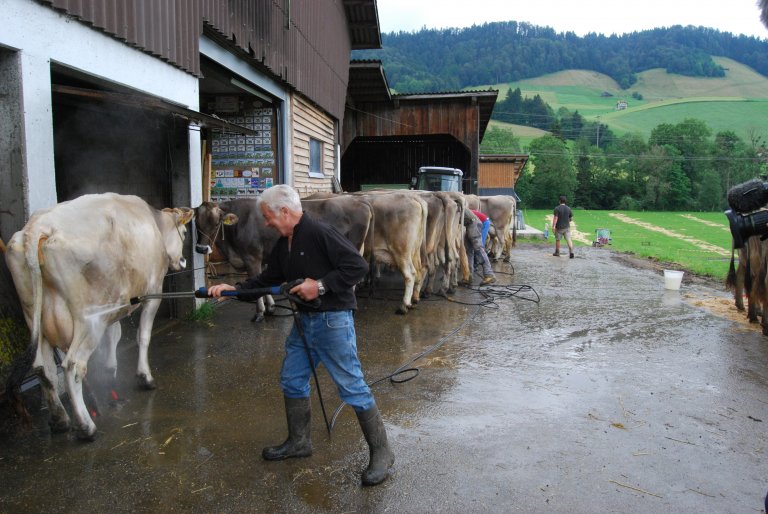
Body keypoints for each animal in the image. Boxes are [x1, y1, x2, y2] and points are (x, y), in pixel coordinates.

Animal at [7, 190, 194, 438]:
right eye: (184, 232)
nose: (182, 260)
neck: (154, 224)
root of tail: (38, 226)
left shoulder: (116, 303)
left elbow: (114, 336)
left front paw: (111, 374)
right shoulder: (153, 292)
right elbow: (143, 336)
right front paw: (145, 377)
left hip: (34, 316)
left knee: (43, 368)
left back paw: (59, 419)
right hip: (89, 320)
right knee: (73, 366)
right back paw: (86, 426)